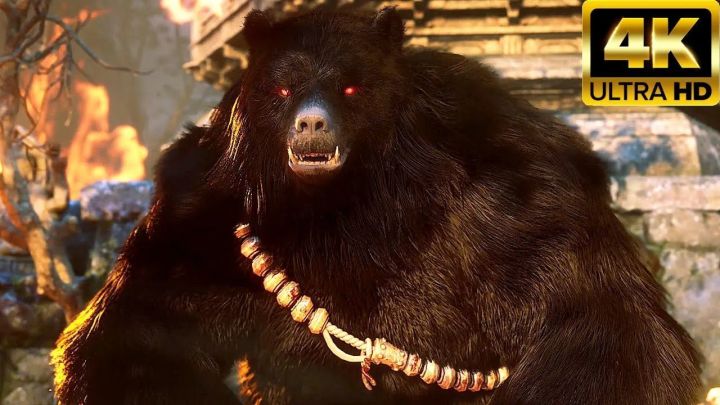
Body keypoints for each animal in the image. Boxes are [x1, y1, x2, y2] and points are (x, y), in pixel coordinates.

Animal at [51, 7, 702, 405]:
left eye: (350, 86)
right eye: (283, 88)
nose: (312, 123)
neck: (347, 208)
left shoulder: (525, 208)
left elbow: (603, 323)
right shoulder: (196, 216)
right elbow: (139, 334)